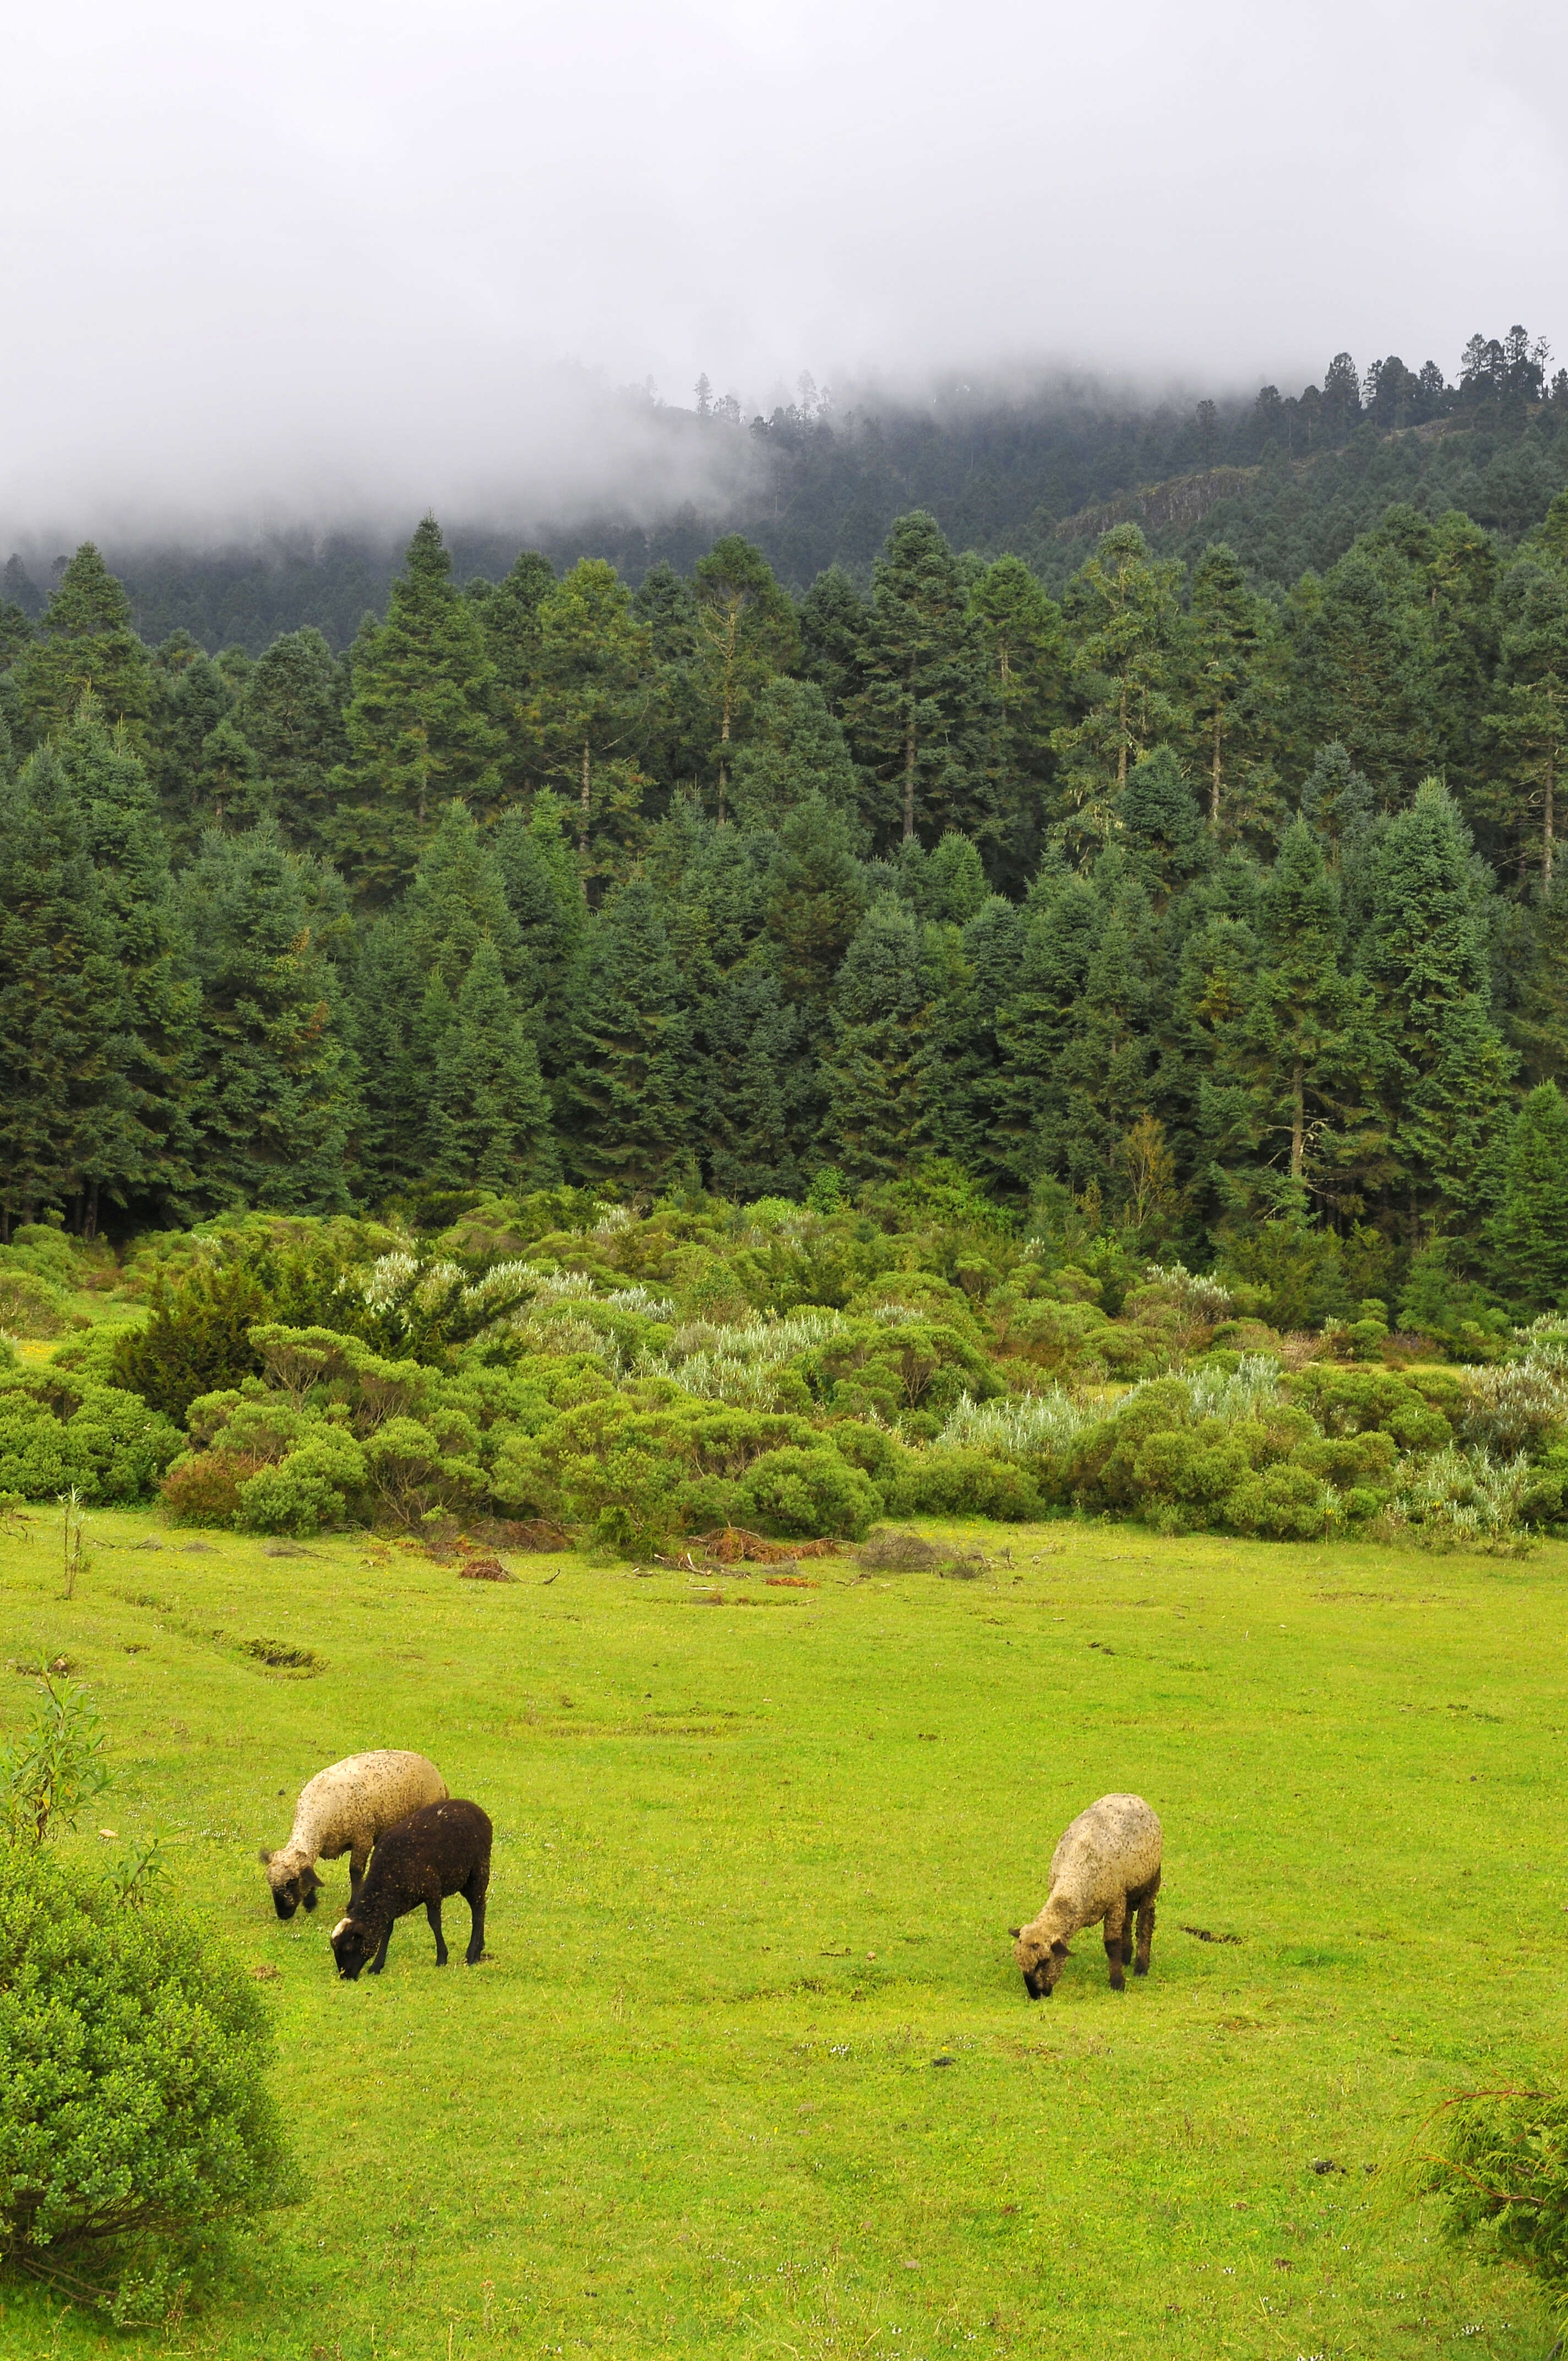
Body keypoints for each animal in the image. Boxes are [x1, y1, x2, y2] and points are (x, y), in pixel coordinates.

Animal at [254, 1747, 444, 1927]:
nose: (282, 1915)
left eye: (292, 1882)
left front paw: (353, 1905)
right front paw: (311, 1903)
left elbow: (355, 1871)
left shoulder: (362, 1838)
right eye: (270, 1882)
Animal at [333, 1794, 493, 1983]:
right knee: (480, 1908)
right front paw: (376, 1966)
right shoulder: (390, 1904)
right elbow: (387, 1931)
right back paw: (480, 1947)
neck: (387, 1877)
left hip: (478, 1871)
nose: (346, 1976)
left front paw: (442, 1958)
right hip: (465, 1880)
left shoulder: (432, 1891)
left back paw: (473, 1954)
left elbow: (435, 1923)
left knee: (478, 1912)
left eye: (349, 1948)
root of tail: (475, 1808)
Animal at [1010, 1794, 1157, 2002]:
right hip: (1127, 1889)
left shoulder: (1114, 1902)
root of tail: (1130, 1795)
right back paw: (1126, 1956)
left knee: (1145, 1920)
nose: (1036, 1995)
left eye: (1044, 1961)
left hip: (1151, 1881)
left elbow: (1112, 1944)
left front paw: (1117, 1983)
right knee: (1128, 1918)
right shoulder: (1118, 1898)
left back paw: (1141, 1966)